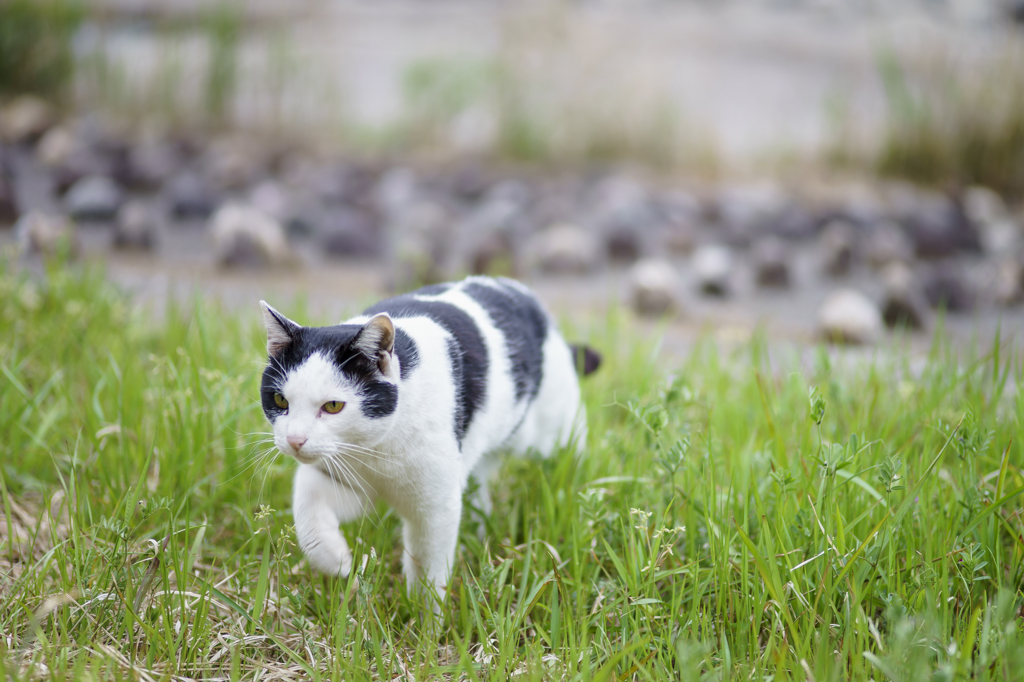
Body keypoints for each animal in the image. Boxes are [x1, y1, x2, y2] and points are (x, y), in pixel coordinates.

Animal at [258, 274, 598, 598]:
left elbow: (428, 568)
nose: (295, 440)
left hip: (552, 433)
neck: (375, 451)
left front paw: (424, 614)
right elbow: (307, 505)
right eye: (279, 400)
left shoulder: (435, 507)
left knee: (573, 453)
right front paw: (335, 560)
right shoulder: (343, 477)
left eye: (332, 406)